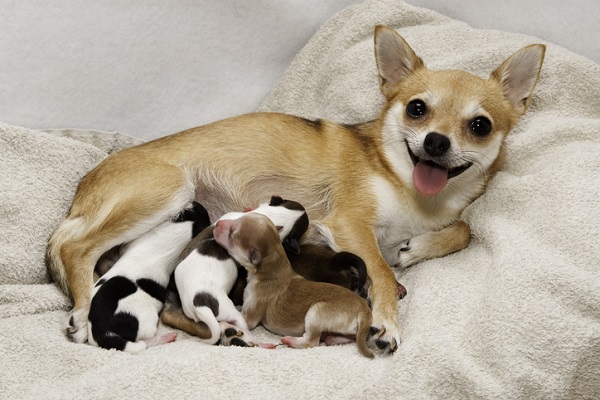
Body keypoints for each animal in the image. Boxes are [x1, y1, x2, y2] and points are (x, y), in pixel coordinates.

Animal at [213, 214, 376, 358]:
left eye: (232, 232)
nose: (217, 223)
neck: (274, 265)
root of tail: (364, 309)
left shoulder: (251, 313)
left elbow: (237, 318)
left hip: (317, 311)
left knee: (311, 341)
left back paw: (290, 340)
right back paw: (332, 338)